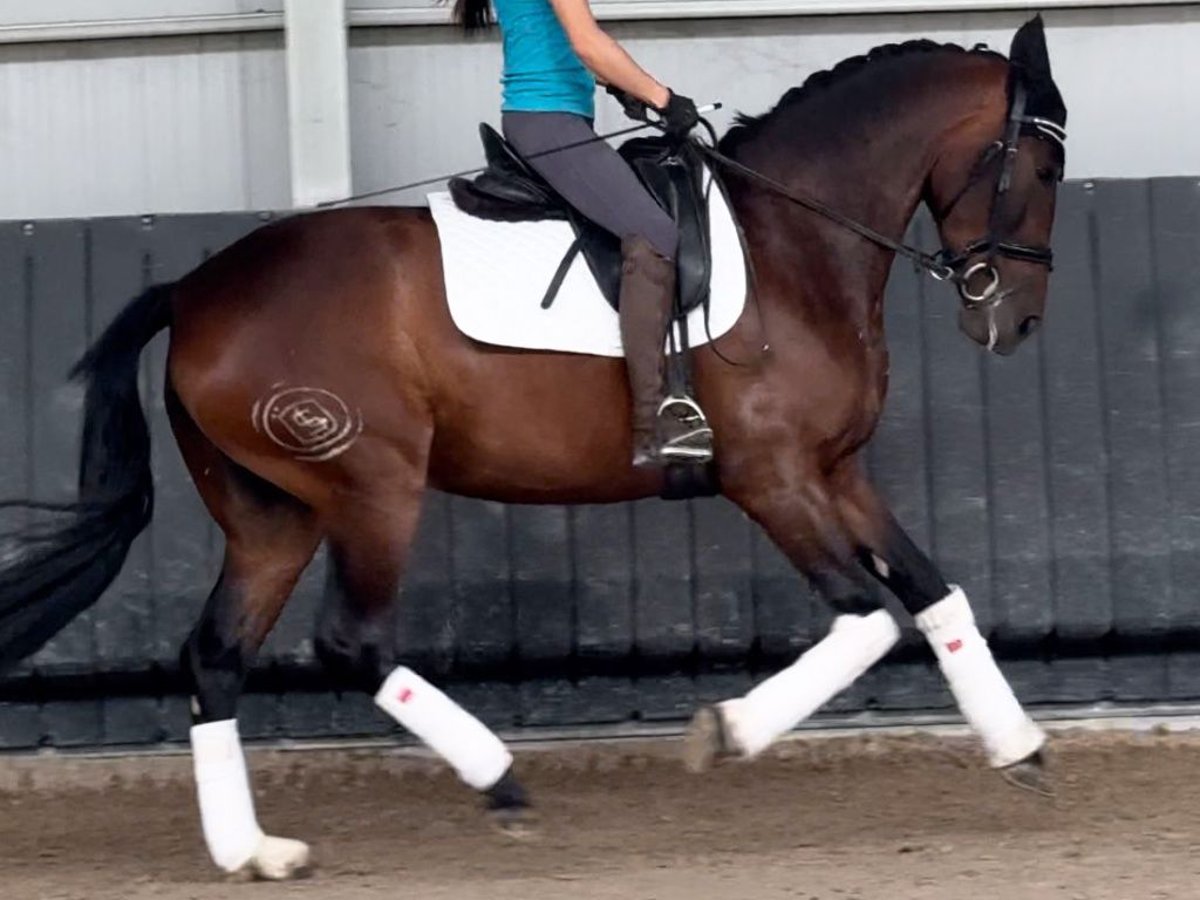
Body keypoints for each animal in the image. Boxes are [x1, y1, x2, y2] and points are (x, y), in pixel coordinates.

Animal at [0, 17, 1070, 883]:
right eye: (1045, 171)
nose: (1016, 321)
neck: (792, 243)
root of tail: (190, 293)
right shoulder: (770, 478)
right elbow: (867, 618)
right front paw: (725, 732)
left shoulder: (837, 471)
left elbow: (933, 593)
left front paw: (1019, 747)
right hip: (372, 485)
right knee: (350, 638)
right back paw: (500, 781)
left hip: (276, 513)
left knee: (217, 654)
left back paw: (253, 852)